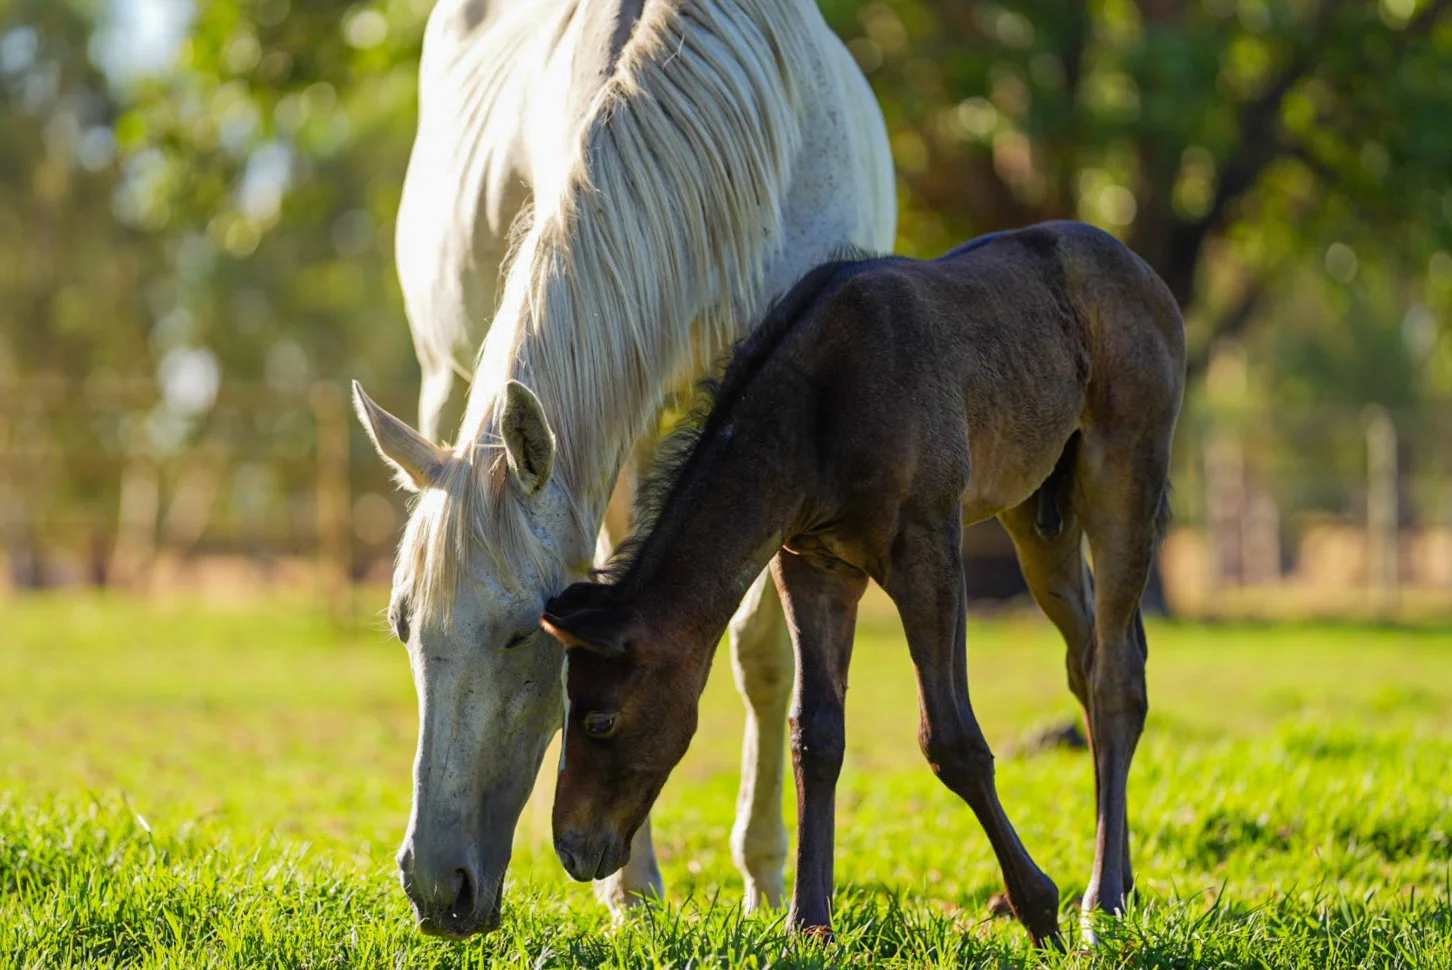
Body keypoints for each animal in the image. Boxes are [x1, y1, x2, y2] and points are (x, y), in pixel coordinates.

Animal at [353, 0, 896, 938]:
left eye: (521, 633)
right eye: (402, 626)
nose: (435, 889)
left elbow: (761, 659)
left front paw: (765, 877)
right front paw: (633, 894)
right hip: (444, 379)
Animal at [538, 222, 1186, 946]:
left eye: (600, 720)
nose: (573, 848)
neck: (821, 409)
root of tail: (1139, 269)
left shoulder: (928, 549)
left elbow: (951, 739)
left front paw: (1039, 908)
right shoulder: (812, 565)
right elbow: (815, 735)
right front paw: (807, 923)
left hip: (1122, 472)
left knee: (1116, 676)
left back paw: (1103, 902)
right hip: (1039, 517)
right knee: (1090, 658)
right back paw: (1124, 882)